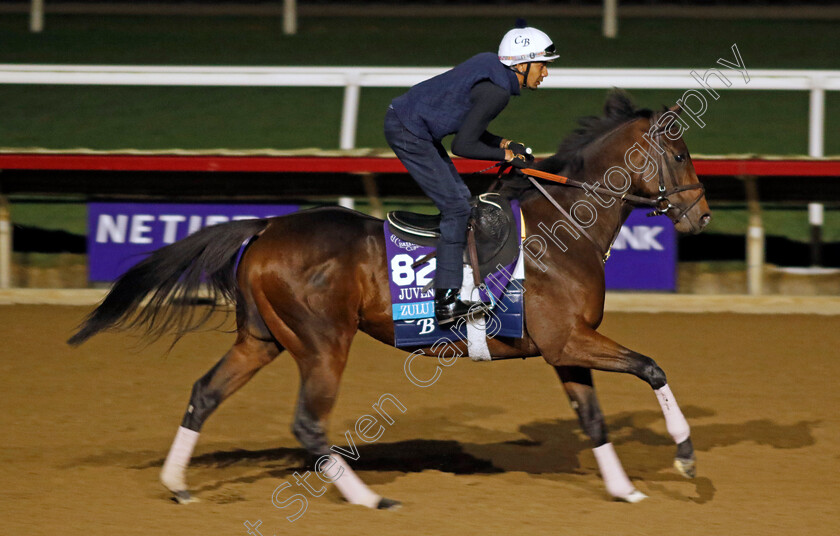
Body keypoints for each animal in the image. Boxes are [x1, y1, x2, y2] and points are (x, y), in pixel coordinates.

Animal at [69, 92, 708, 510]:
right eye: (680, 155)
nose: (701, 214)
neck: (564, 227)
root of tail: (267, 226)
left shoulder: (564, 348)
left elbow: (593, 418)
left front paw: (624, 488)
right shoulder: (569, 340)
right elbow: (652, 368)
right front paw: (684, 456)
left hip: (263, 339)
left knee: (205, 393)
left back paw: (177, 484)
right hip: (323, 341)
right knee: (308, 422)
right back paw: (368, 499)